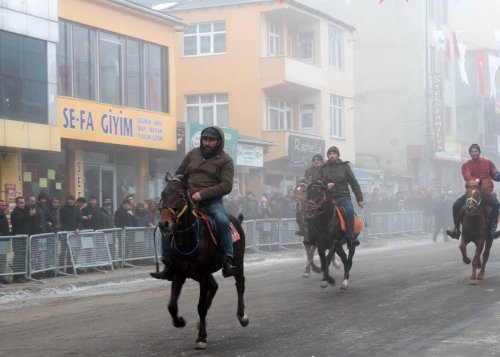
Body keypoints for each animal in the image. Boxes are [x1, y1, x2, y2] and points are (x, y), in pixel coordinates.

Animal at [157, 172, 249, 348]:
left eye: (180, 195)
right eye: (162, 194)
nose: (164, 224)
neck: (189, 240)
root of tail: (236, 220)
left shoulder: (204, 274)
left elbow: (201, 306)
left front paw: (201, 338)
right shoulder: (179, 274)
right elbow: (172, 306)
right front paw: (179, 321)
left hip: (237, 262)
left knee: (239, 284)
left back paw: (242, 316)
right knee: (214, 287)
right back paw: (201, 323)